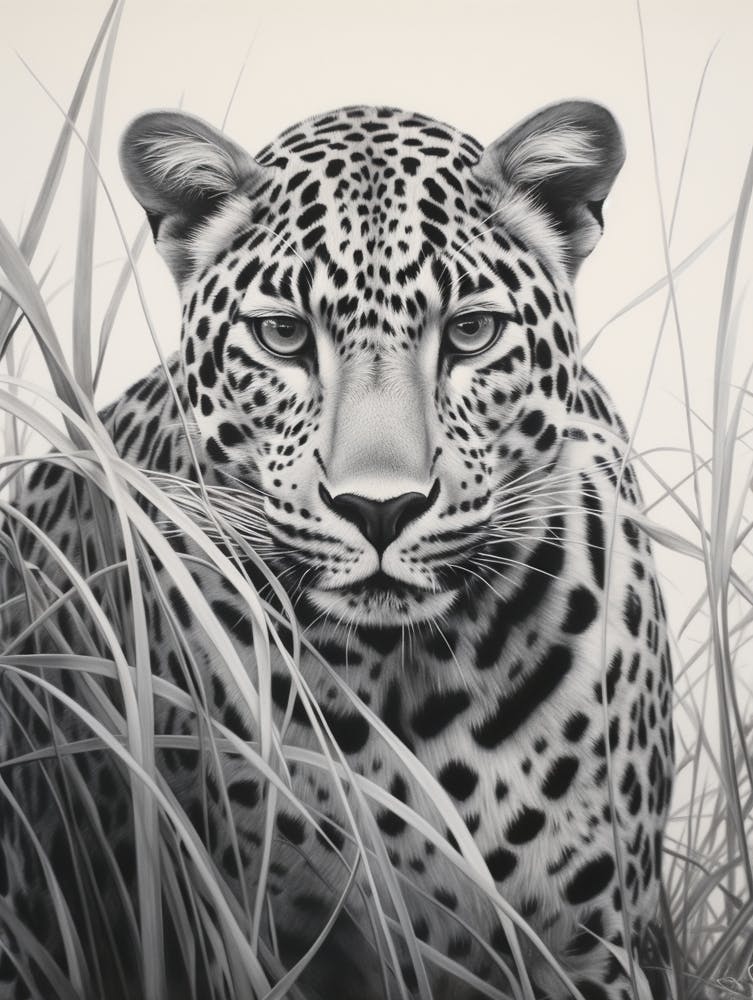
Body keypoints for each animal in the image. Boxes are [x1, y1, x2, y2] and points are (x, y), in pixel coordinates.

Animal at [0, 100, 675, 1000]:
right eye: (283, 336)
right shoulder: (261, 936)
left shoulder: (592, 944)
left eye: (471, 331)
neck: (411, 674)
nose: (378, 509)